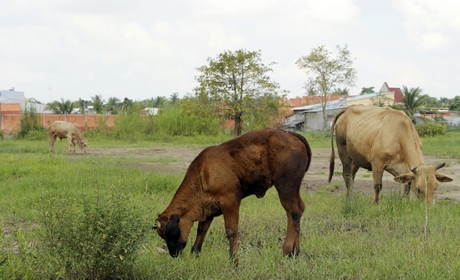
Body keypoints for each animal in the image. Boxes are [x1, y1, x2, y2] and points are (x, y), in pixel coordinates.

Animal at [155, 128, 312, 262]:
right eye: (162, 236)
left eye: (171, 234)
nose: (174, 253)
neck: (202, 174)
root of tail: (290, 134)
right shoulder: (208, 208)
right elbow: (202, 230)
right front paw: (195, 253)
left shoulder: (230, 202)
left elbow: (231, 231)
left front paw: (233, 260)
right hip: (294, 189)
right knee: (300, 209)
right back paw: (296, 252)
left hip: (285, 187)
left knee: (293, 213)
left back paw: (286, 252)